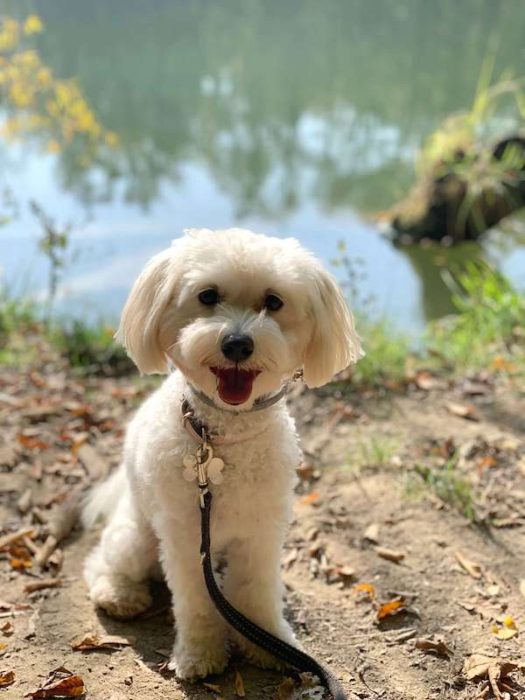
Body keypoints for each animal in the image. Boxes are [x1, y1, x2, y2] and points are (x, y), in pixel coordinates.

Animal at [83, 228, 360, 680]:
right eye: (208, 295)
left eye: (274, 302)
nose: (237, 344)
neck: (221, 435)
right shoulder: (186, 538)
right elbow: (196, 602)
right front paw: (200, 655)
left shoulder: (261, 532)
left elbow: (257, 592)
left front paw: (270, 644)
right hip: (139, 536)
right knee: (104, 560)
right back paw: (119, 593)